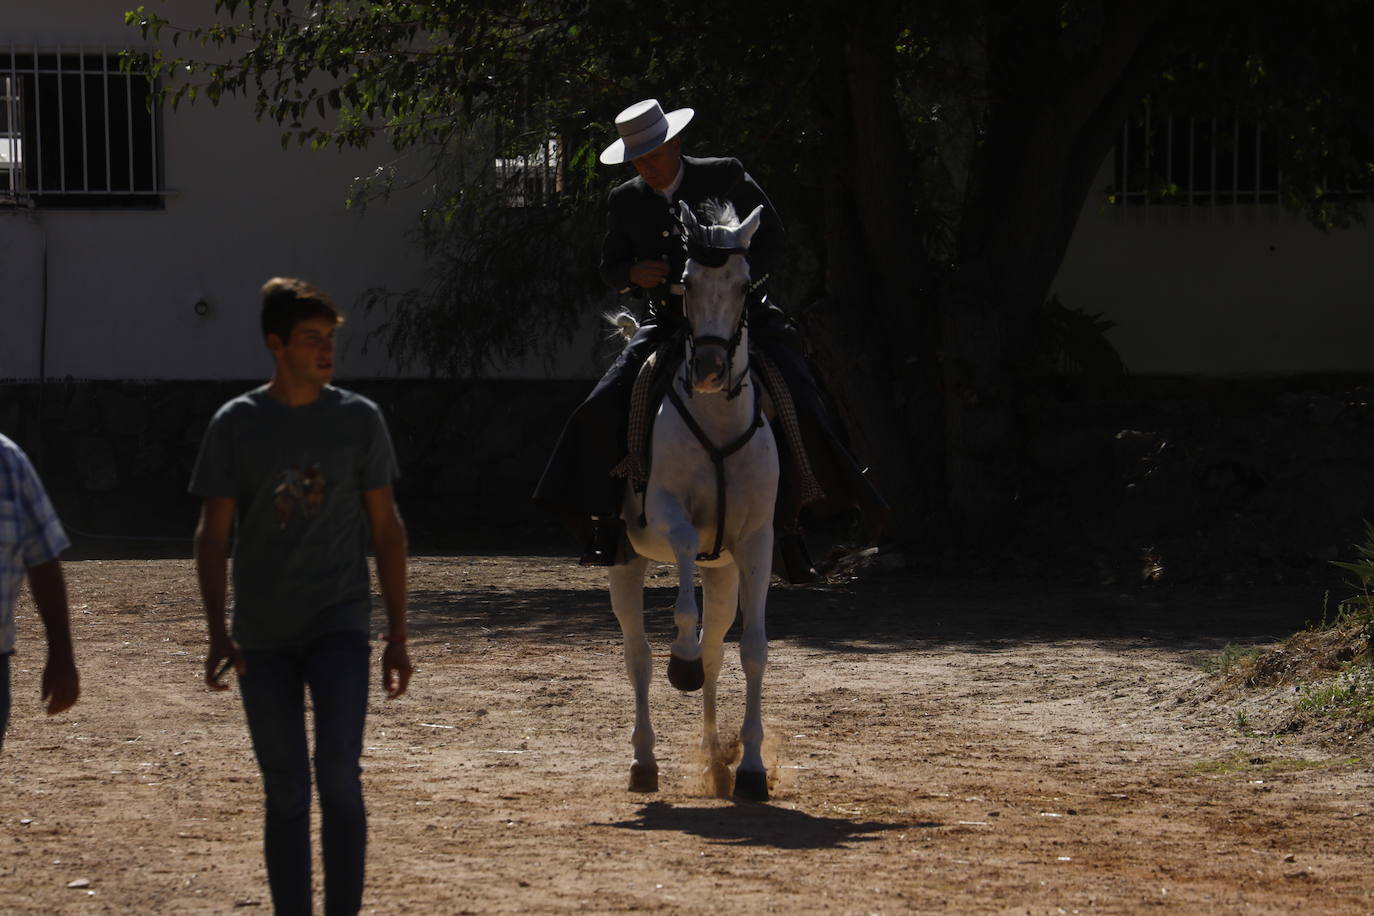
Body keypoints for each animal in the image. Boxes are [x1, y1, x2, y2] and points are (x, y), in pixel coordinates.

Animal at [610, 199, 780, 802]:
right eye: (684, 282)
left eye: (746, 284)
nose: (708, 370)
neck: (717, 420)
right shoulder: (663, 515)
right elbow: (683, 560)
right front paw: (678, 660)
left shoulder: (755, 543)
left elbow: (751, 650)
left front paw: (750, 768)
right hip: (625, 562)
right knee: (638, 655)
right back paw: (643, 761)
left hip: (723, 571)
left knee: (715, 649)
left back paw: (715, 762)